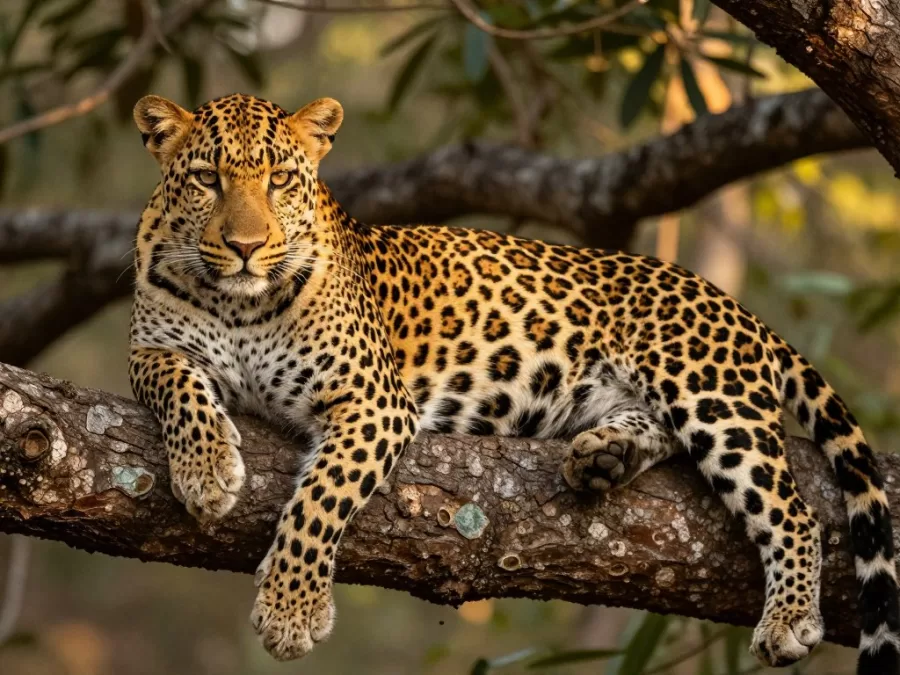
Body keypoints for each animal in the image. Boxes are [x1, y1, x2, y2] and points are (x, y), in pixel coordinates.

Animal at [128, 92, 899, 674]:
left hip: (709, 392)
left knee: (792, 509)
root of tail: (736, 307)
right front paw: (206, 470)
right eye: (208, 179)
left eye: (281, 180)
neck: (240, 303)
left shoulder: (375, 401)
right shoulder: (150, 350)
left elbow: (321, 501)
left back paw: (790, 617)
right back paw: (603, 456)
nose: (245, 246)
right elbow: (180, 386)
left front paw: (291, 608)